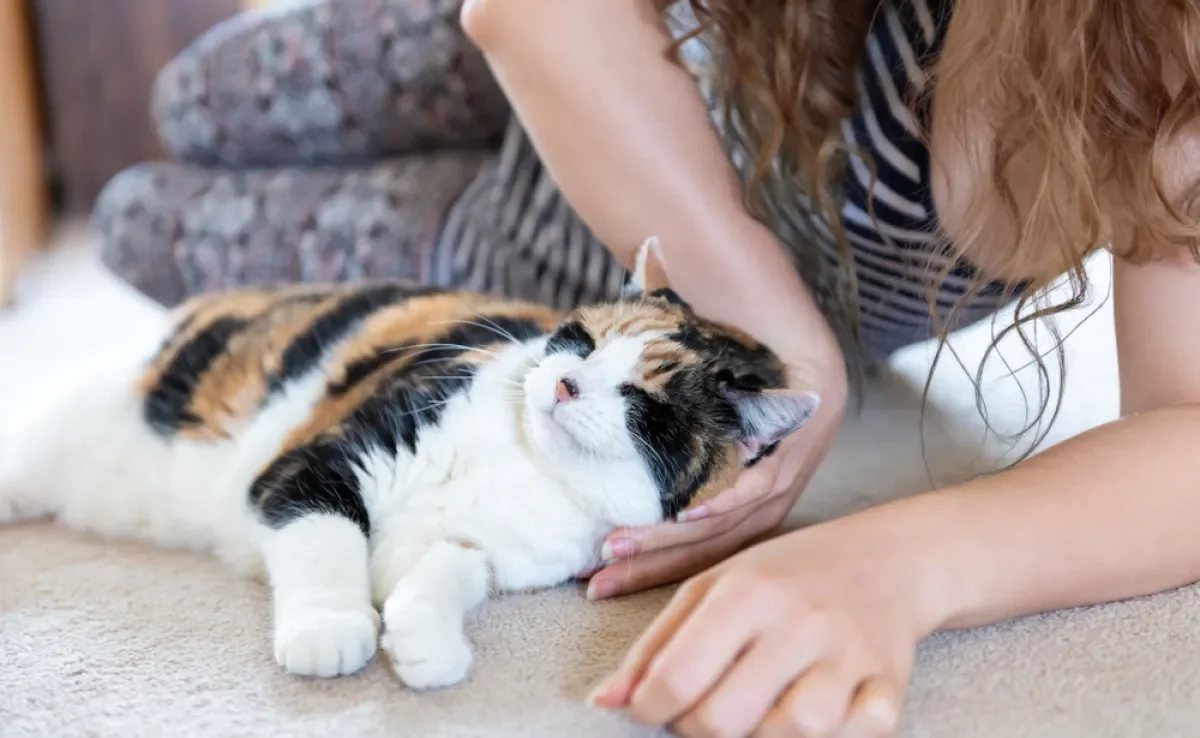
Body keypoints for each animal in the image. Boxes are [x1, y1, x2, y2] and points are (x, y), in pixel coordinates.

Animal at [0, 240, 816, 691]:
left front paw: (425, 642)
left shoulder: (464, 548)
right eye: (582, 341)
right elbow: (325, 537)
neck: (522, 467)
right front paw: (330, 629)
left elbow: (450, 569)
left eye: (641, 398)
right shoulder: (324, 458)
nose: (564, 384)